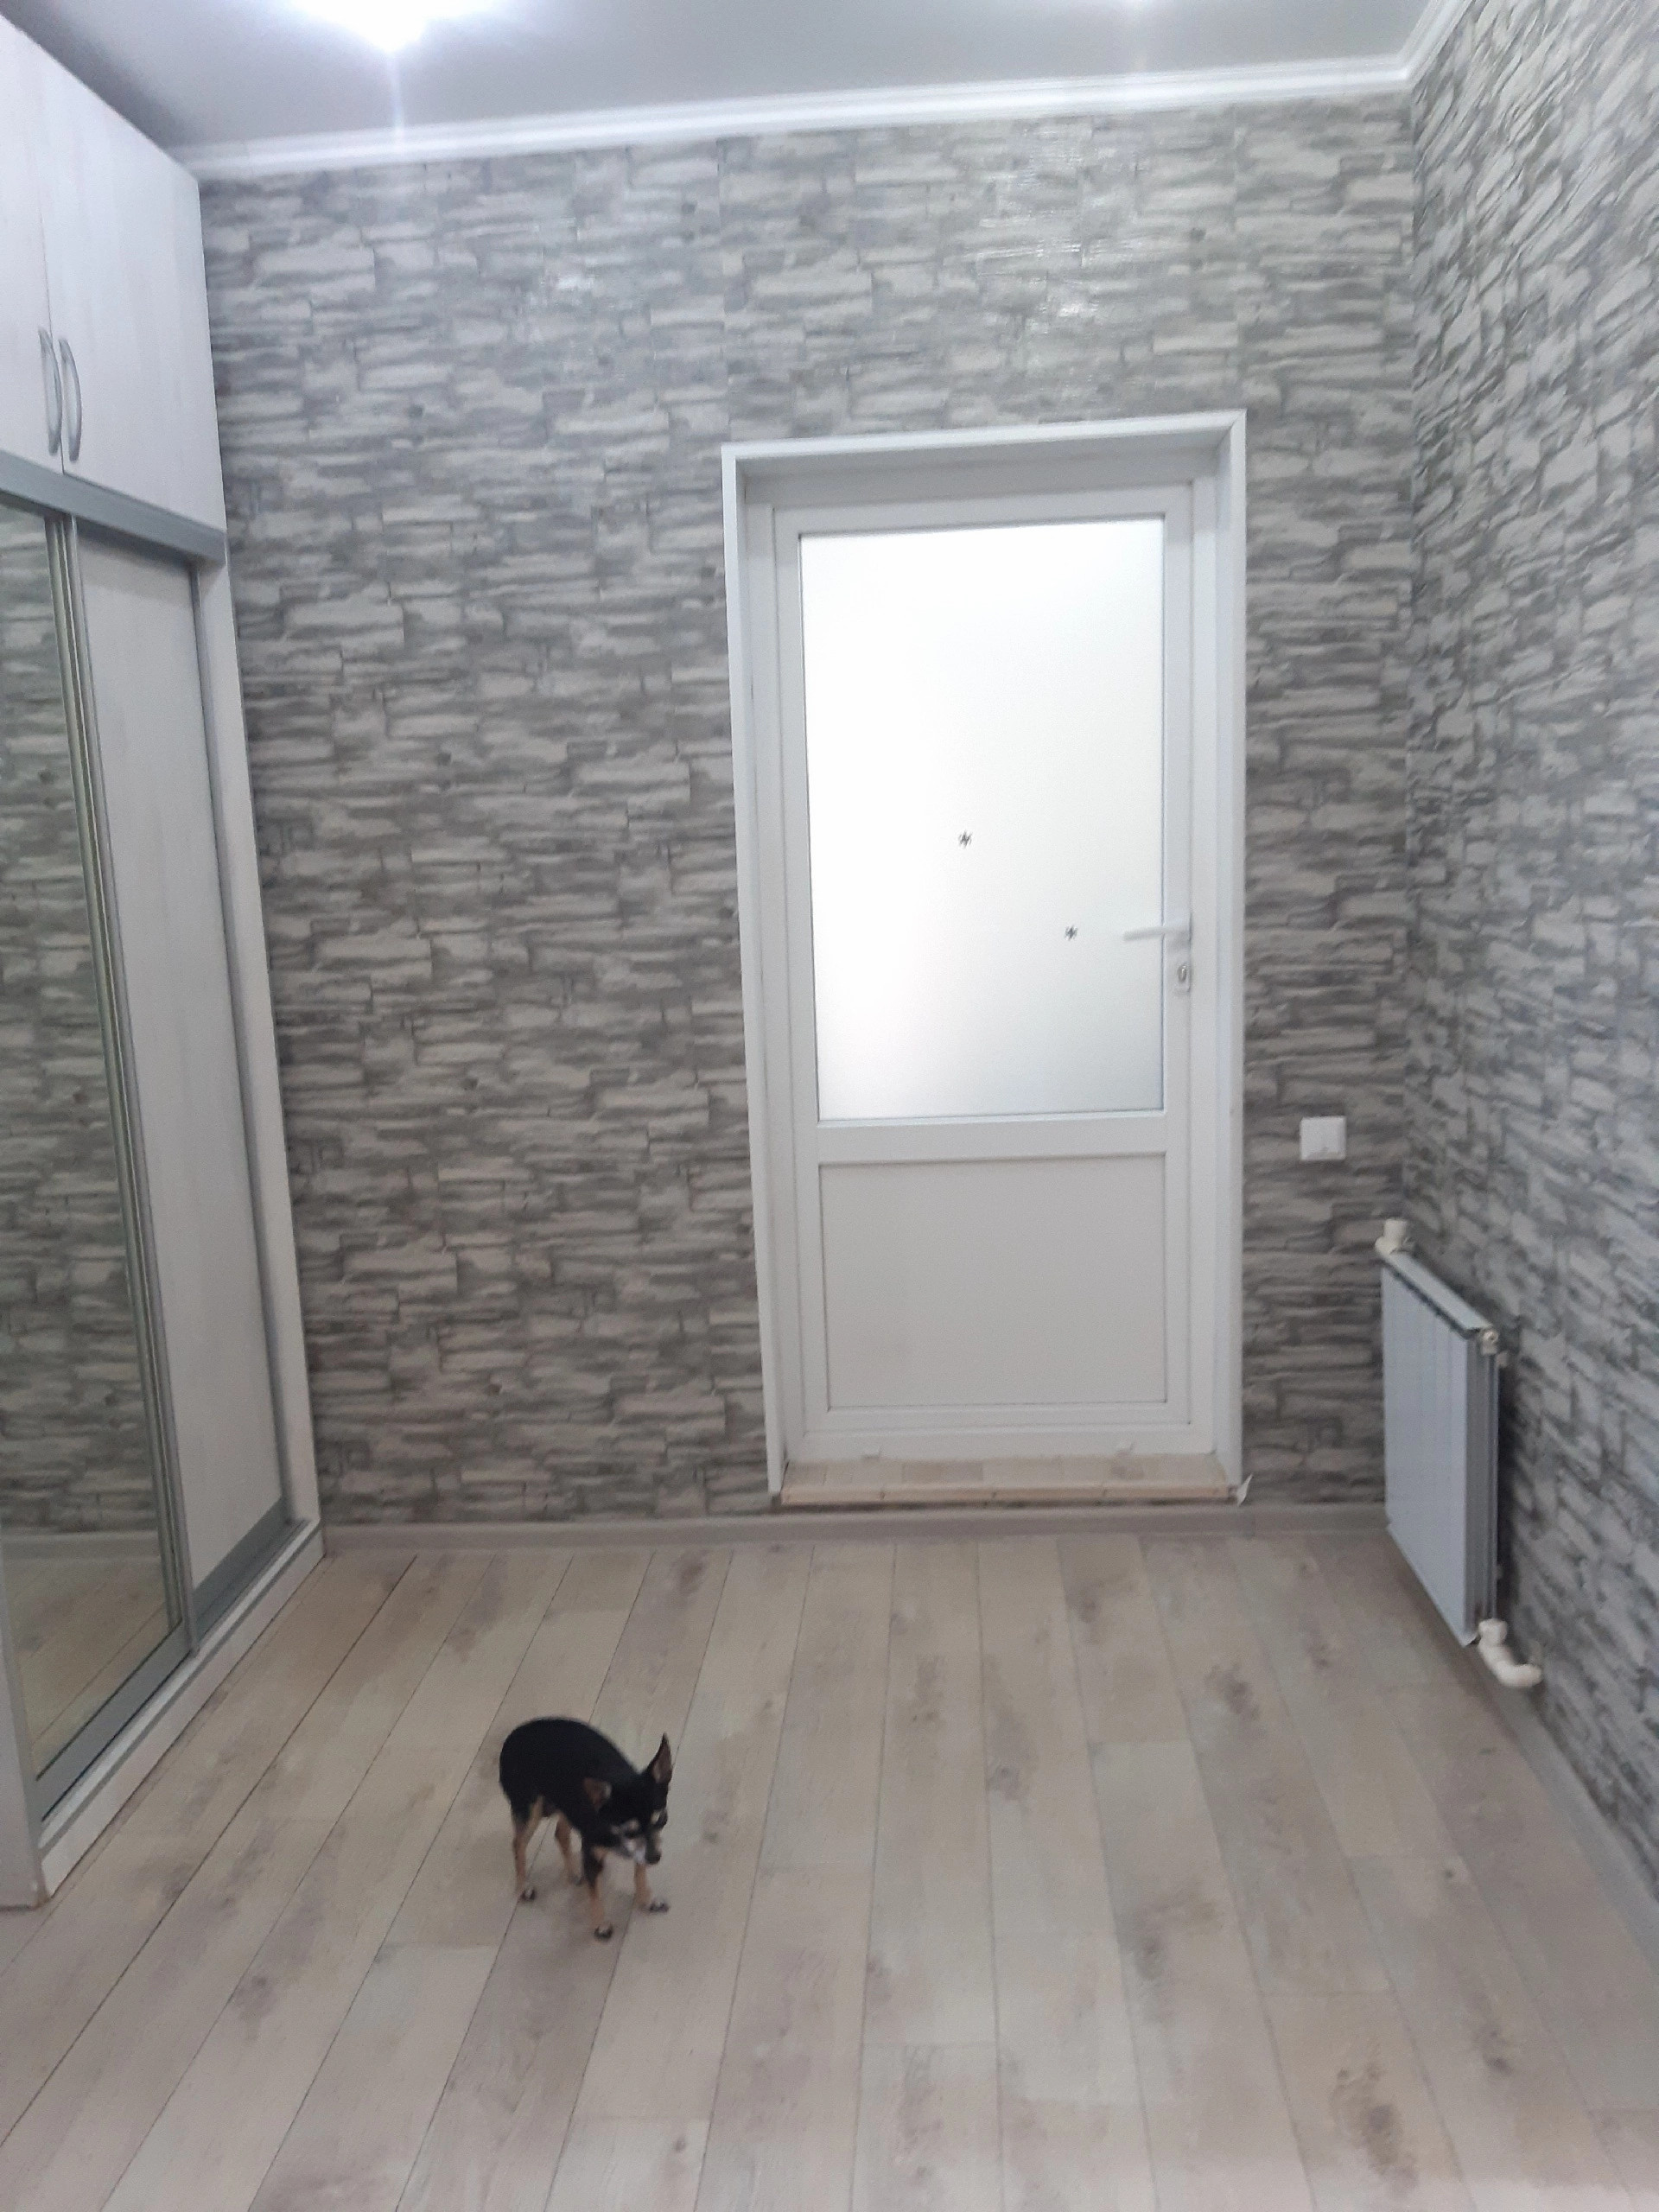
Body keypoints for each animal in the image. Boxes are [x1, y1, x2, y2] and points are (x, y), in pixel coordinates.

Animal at [498, 1716, 673, 1940]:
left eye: (661, 1820)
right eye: (630, 1831)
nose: (655, 1858)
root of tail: (514, 1734)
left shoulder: (640, 1851)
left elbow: (639, 1873)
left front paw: (646, 1899)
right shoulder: (592, 1853)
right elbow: (595, 1892)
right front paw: (600, 1925)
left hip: (566, 1804)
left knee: (560, 1833)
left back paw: (573, 1872)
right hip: (531, 1810)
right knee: (518, 1844)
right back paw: (523, 1887)